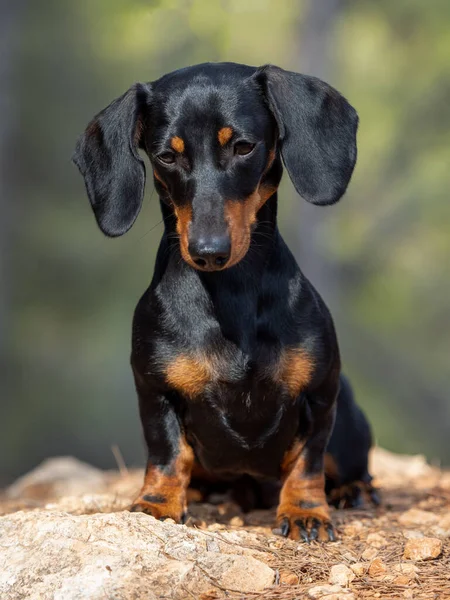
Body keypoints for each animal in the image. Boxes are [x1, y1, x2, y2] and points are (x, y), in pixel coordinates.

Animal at [73, 62, 376, 544]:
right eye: (166, 156)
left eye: (244, 147)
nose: (208, 251)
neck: (231, 295)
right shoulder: (155, 391)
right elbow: (167, 453)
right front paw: (157, 503)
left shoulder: (320, 395)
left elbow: (308, 461)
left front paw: (306, 511)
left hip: (349, 427)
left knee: (349, 466)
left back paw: (354, 491)